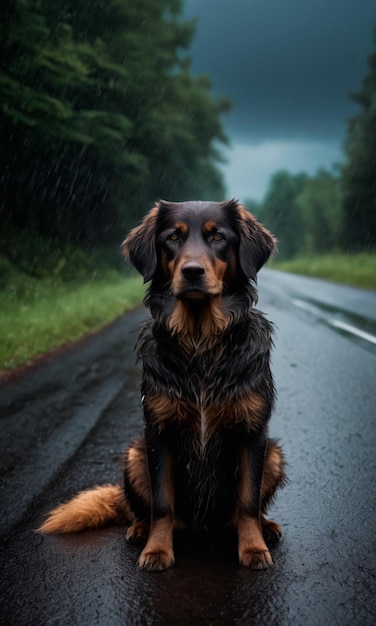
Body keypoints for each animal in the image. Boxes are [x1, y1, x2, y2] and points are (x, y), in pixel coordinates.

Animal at [38, 200, 286, 572]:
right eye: (173, 238)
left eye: (218, 237)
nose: (193, 272)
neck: (200, 341)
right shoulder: (159, 433)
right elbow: (162, 502)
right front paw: (156, 550)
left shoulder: (252, 433)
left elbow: (247, 501)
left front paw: (254, 548)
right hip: (135, 454)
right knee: (141, 510)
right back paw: (140, 528)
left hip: (273, 454)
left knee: (248, 508)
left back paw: (266, 527)